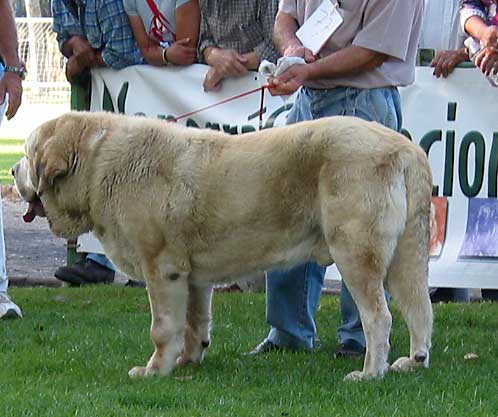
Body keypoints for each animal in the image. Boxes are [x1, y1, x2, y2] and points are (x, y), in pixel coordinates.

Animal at [13, 110, 434, 380]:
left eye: (29, 154)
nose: (14, 169)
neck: (98, 162)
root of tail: (406, 149)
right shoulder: (192, 277)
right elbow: (194, 322)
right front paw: (188, 361)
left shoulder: (161, 269)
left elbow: (163, 327)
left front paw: (153, 370)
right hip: (405, 258)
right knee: (420, 310)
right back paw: (413, 361)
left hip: (356, 253)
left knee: (379, 317)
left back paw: (370, 373)